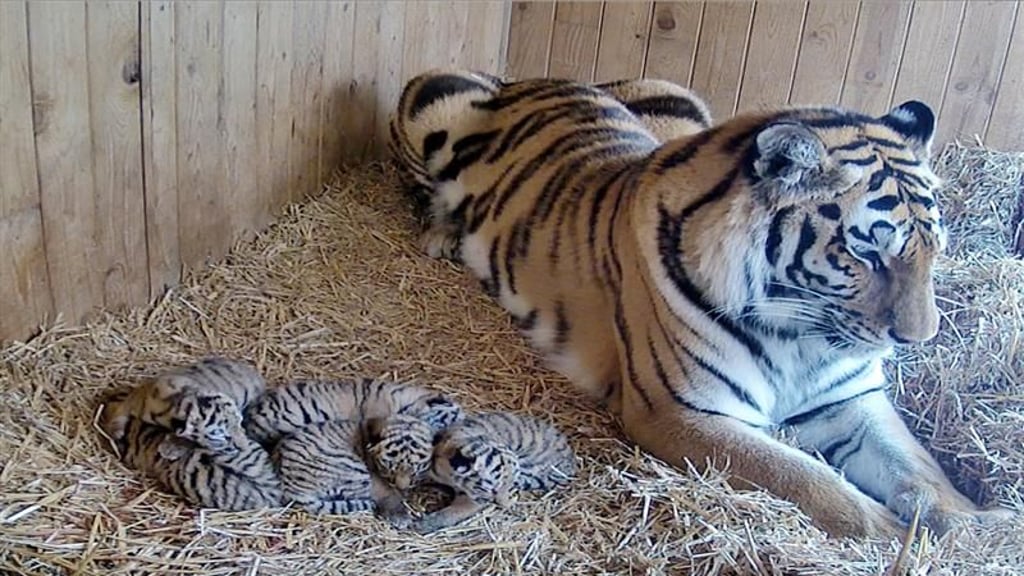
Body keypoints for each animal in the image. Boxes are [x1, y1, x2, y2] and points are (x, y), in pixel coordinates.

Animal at [99, 357, 266, 458]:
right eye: (225, 437)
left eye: (239, 423)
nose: (245, 448)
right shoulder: (140, 395)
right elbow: (122, 408)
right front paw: (115, 431)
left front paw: (170, 448)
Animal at [272, 414, 436, 527]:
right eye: (388, 465)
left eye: (415, 469)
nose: (402, 488)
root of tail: (292, 488)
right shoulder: (375, 478)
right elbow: (388, 493)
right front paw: (401, 516)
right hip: (355, 469)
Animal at [411, 411, 576, 534]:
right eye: (493, 489)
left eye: (509, 484)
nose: (505, 506)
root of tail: (571, 458)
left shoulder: (473, 499)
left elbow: (453, 512)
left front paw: (425, 524)